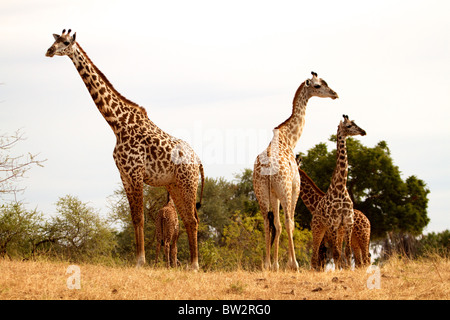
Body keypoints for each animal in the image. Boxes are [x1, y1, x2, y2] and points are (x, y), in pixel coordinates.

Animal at [45, 29, 204, 270]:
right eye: (53, 40)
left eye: (64, 42)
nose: (49, 51)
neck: (117, 124)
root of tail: (199, 161)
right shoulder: (124, 175)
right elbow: (135, 218)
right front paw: (138, 261)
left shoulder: (135, 172)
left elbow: (141, 217)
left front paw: (140, 261)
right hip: (175, 185)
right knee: (188, 219)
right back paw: (190, 264)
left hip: (187, 184)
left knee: (193, 220)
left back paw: (194, 265)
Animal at [253, 72, 338, 270]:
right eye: (317, 85)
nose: (334, 94)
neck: (289, 139)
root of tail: (267, 169)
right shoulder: (295, 187)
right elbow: (290, 223)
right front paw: (291, 264)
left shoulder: (274, 194)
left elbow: (276, 224)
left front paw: (275, 264)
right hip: (285, 190)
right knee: (286, 221)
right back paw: (294, 264)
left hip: (261, 192)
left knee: (267, 222)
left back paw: (266, 265)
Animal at [312, 115, 368, 270]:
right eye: (348, 126)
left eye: (355, 123)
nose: (363, 131)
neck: (341, 187)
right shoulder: (333, 223)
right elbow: (336, 253)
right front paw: (338, 271)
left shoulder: (347, 222)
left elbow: (347, 252)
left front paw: (347, 269)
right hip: (318, 228)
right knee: (315, 254)